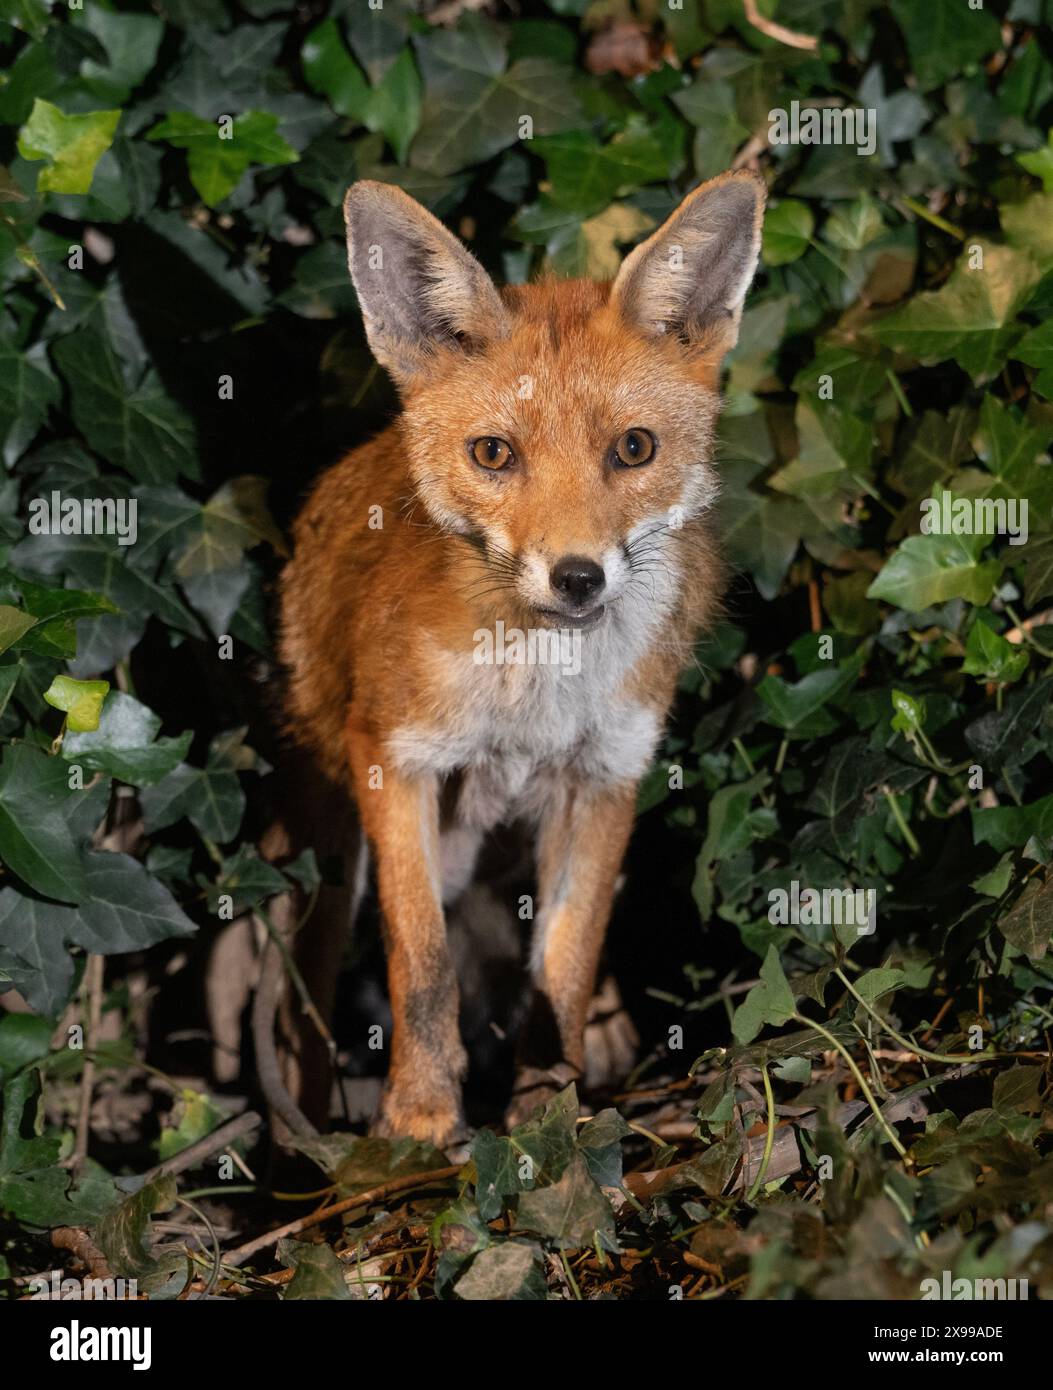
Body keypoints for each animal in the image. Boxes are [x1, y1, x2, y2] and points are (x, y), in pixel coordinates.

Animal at [280, 168, 766, 1145]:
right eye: (493, 454)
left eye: (633, 448)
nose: (577, 577)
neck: (532, 698)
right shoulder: (393, 758)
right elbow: (421, 966)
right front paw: (419, 1118)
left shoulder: (606, 776)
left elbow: (566, 968)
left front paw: (553, 1116)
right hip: (329, 850)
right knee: (306, 1005)